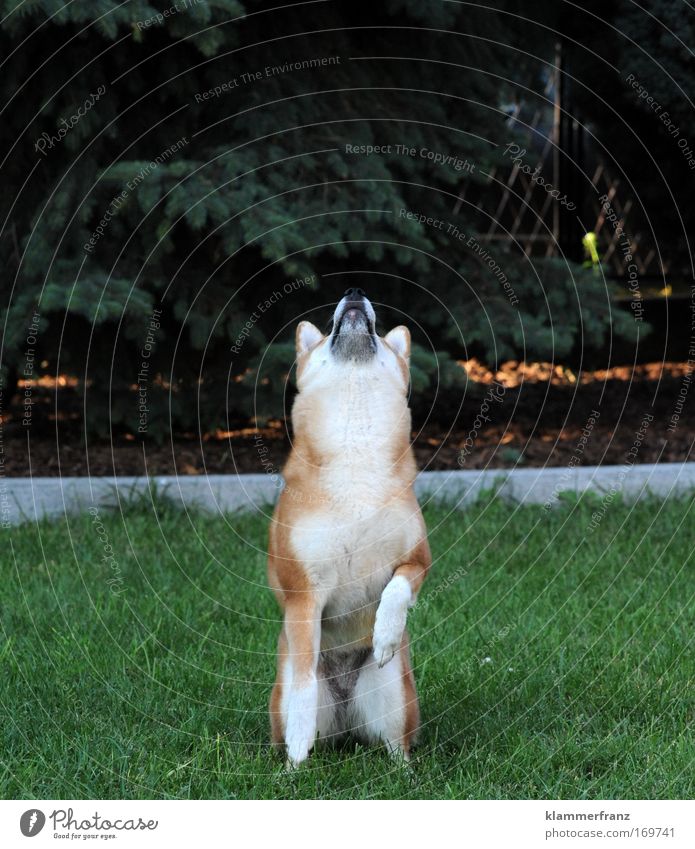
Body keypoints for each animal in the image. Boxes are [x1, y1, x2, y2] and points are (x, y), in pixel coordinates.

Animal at [266, 288, 430, 764]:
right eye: (323, 338)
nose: (355, 292)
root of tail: (344, 718)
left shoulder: (418, 558)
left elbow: (397, 590)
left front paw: (386, 634)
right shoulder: (304, 594)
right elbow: (303, 687)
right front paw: (297, 749)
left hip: (394, 695)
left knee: (397, 745)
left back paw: (405, 770)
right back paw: (295, 762)